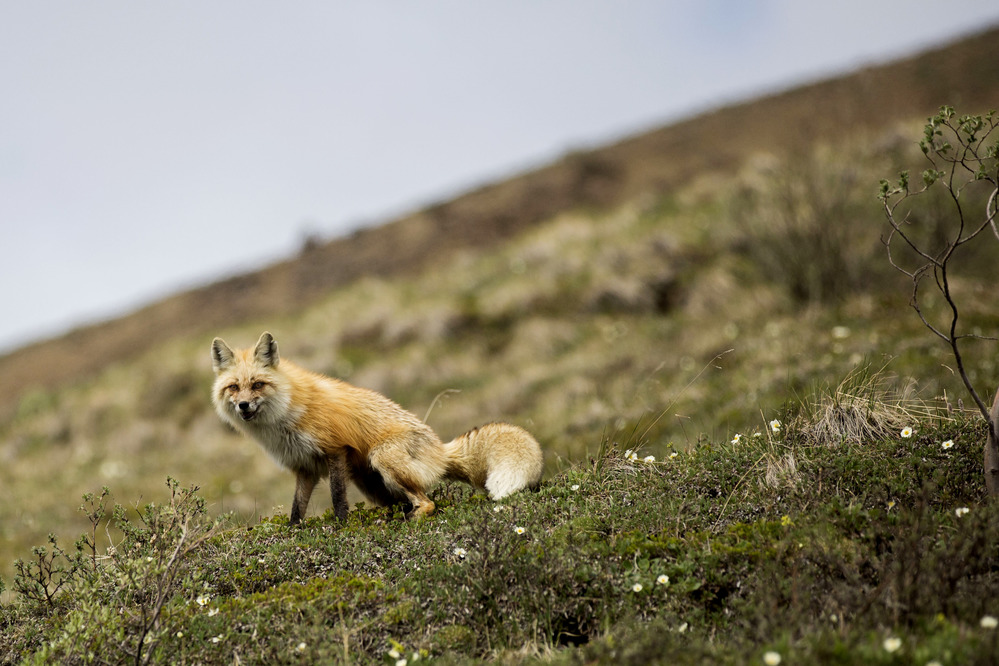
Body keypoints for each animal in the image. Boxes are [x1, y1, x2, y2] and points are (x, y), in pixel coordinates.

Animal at [210, 332, 544, 525]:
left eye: (257, 384)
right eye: (233, 388)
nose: (243, 406)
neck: (285, 417)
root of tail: (440, 448)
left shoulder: (335, 450)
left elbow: (337, 499)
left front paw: (342, 528)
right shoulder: (303, 467)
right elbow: (297, 508)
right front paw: (295, 532)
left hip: (382, 459)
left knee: (429, 502)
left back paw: (411, 519)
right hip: (370, 483)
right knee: (402, 502)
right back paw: (393, 518)